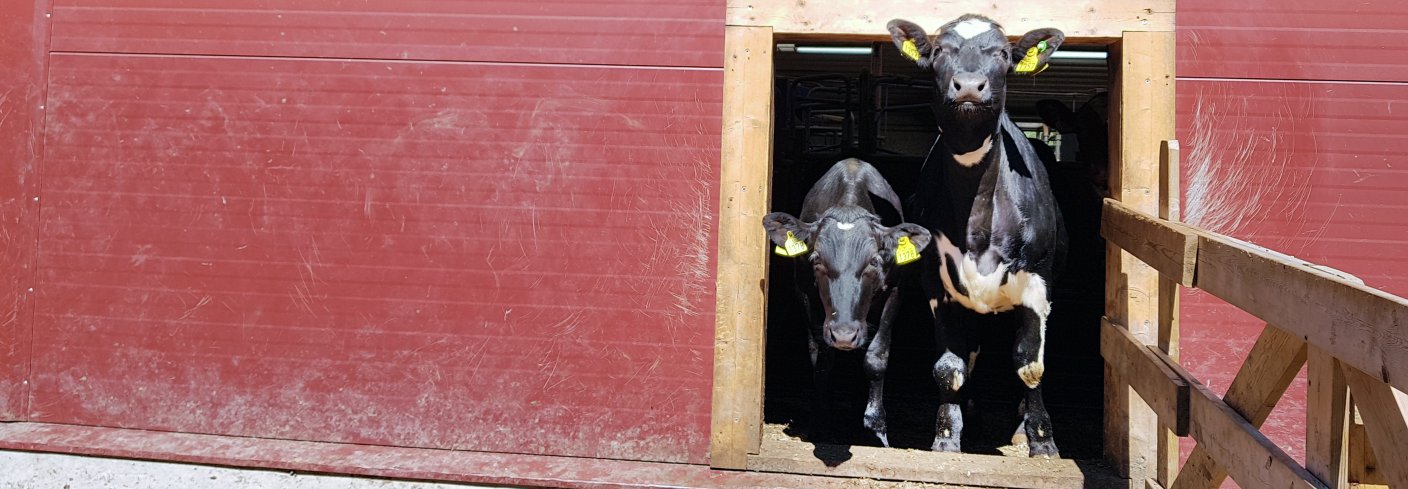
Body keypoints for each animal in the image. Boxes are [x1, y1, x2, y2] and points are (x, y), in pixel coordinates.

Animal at [765, 157, 929, 448]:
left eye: (874, 261)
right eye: (816, 259)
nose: (843, 334)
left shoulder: (896, 291)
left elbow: (876, 358)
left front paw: (876, 429)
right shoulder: (804, 293)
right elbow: (822, 358)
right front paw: (820, 426)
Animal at [889, 15, 1064, 459]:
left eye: (1002, 53)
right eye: (939, 51)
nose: (969, 85)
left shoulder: (1038, 282)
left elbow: (1030, 365)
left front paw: (1042, 440)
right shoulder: (937, 286)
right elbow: (949, 368)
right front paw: (947, 437)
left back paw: (1020, 427)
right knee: (970, 354)